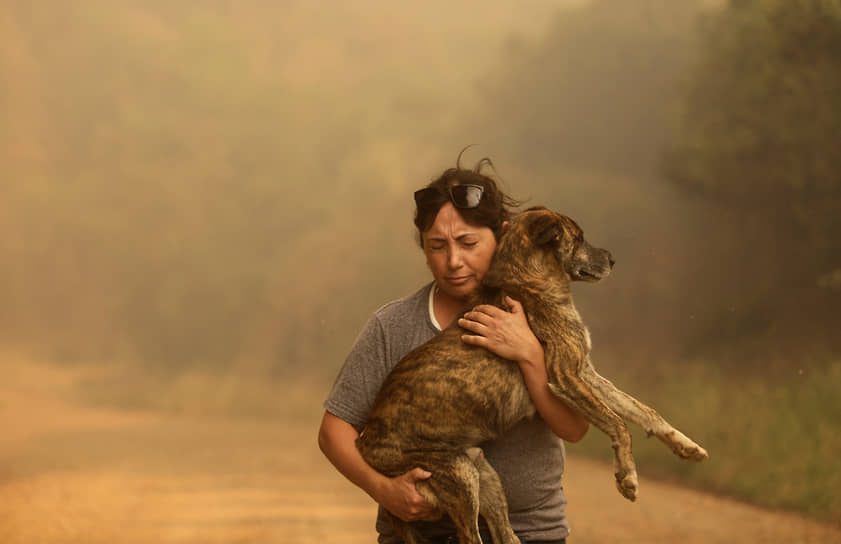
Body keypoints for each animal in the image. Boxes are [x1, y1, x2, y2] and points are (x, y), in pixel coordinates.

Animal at [354, 206, 708, 544]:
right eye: (579, 238)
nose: (612, 260)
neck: (529, 280)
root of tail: (366, 446)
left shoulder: (586, 372)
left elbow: (643, 411)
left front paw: (686, 445)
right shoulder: (567, 377)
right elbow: (618, 423)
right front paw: (627, 477)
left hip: (484, 476)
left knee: (506, 535)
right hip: (459, 476)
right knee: (471, 537)